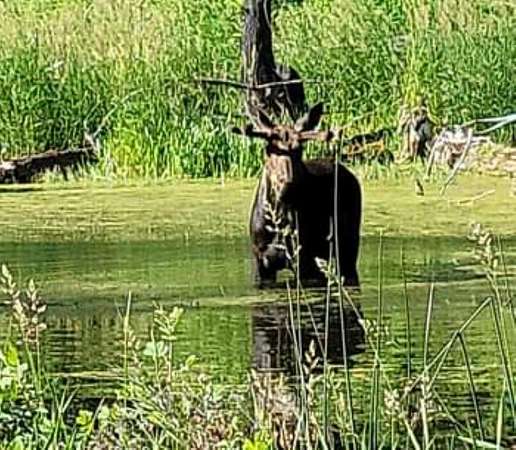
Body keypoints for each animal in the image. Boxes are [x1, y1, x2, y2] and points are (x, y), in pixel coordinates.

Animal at [232, 102, 362, 288]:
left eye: (299, 149)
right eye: (268, 149)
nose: (287, 185)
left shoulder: (303, 259)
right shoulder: (260, 260)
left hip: (346, 245)